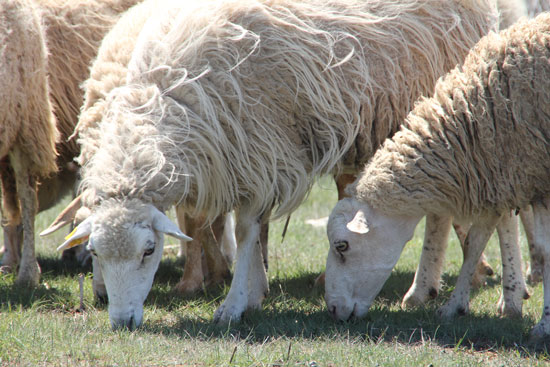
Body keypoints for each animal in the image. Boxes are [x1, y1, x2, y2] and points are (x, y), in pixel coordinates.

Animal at [54, 0, 502, 330]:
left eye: (150, 251)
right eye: (93, 251)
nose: (121, 321)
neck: (172, 100)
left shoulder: (261, 150)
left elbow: (247, 230)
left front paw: (234, 304)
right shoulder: (236, 159)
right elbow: (241, 229)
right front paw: (253, 292)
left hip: (447, 120)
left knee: (439, 214)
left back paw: (423, 288)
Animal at [326, 12, 550, 338]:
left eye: (342, 246)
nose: (331, 309)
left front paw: (543, 325)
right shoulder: (498, 170)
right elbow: (473, 243)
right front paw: (453, 306)